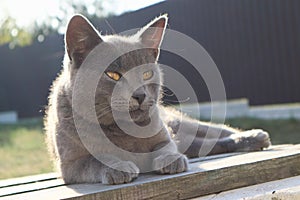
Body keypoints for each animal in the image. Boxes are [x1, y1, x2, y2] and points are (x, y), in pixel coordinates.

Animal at [45, 14, 272, 184]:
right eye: (113, 75)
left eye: (146, 74)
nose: (139, 94)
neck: (121, 131)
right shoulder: (70, 164)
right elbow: (94, 161)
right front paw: (118, 167)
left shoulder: (163, 136)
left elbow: (166, 146)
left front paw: (170, 160)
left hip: (181, 123)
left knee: (215, 131)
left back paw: (256, 137)